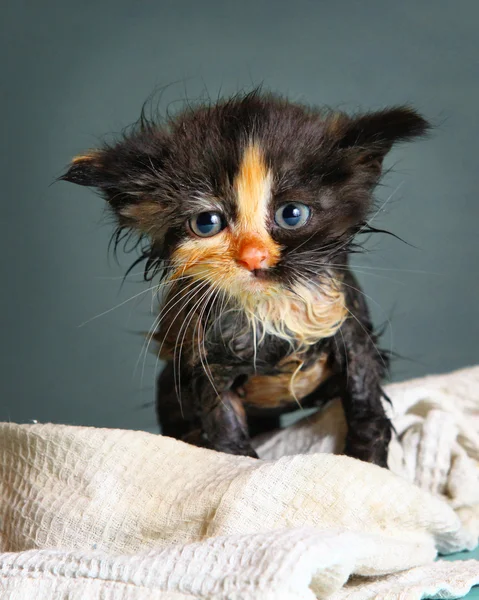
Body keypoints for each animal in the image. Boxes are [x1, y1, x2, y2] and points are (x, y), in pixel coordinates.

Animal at [62, 90, 430, 464]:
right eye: (207, 223)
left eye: (292, 214)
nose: (253, 256)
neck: (269, 313)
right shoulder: (204, 358)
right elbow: (226, 433)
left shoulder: (352, 327)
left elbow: (365, 403)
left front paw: (365, 463)